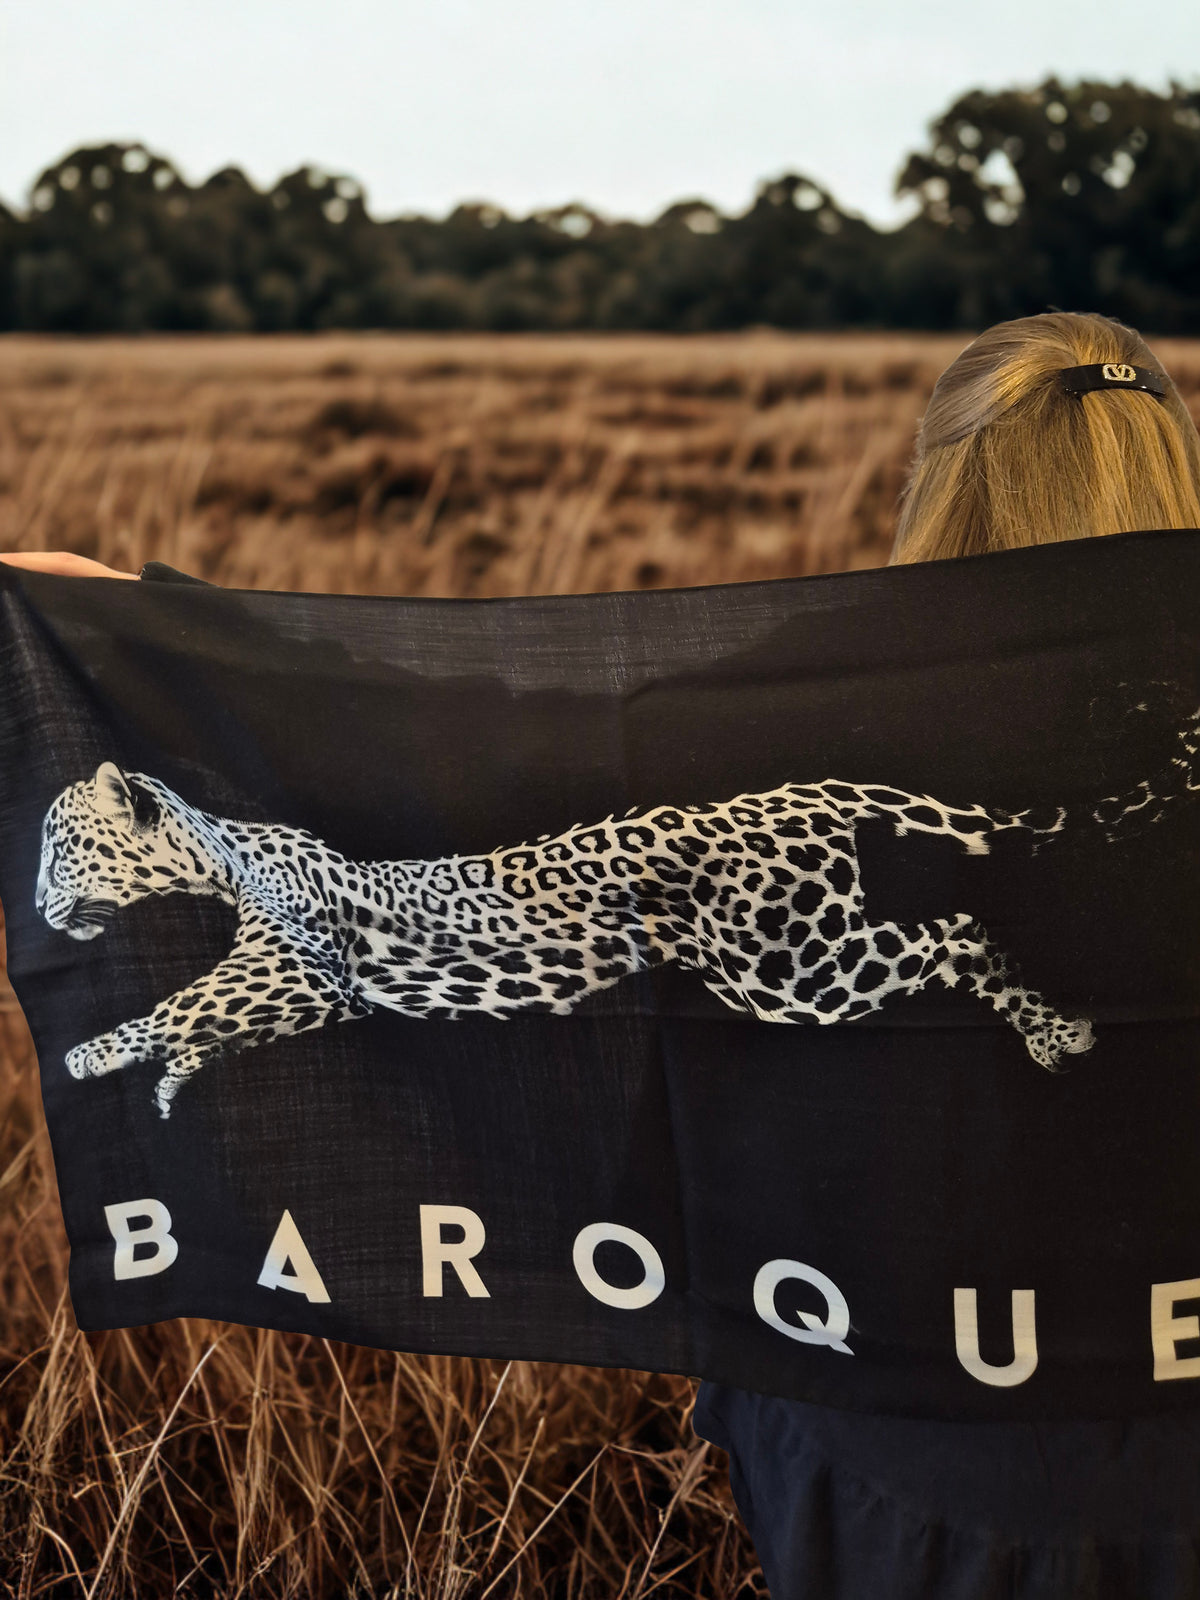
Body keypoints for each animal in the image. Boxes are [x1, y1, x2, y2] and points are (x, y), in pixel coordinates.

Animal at [34, 702, 1200, 1119]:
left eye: (57, 847)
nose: (39, 903)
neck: (215, 854)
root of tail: (801, 794)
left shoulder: (289, 967)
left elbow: (177, 1006)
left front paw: (90, 1056)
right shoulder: (297, 993)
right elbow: (199, 1025)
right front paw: (163, 1082)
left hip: (796, 969)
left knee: (954, 932)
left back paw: (1056, 1030)